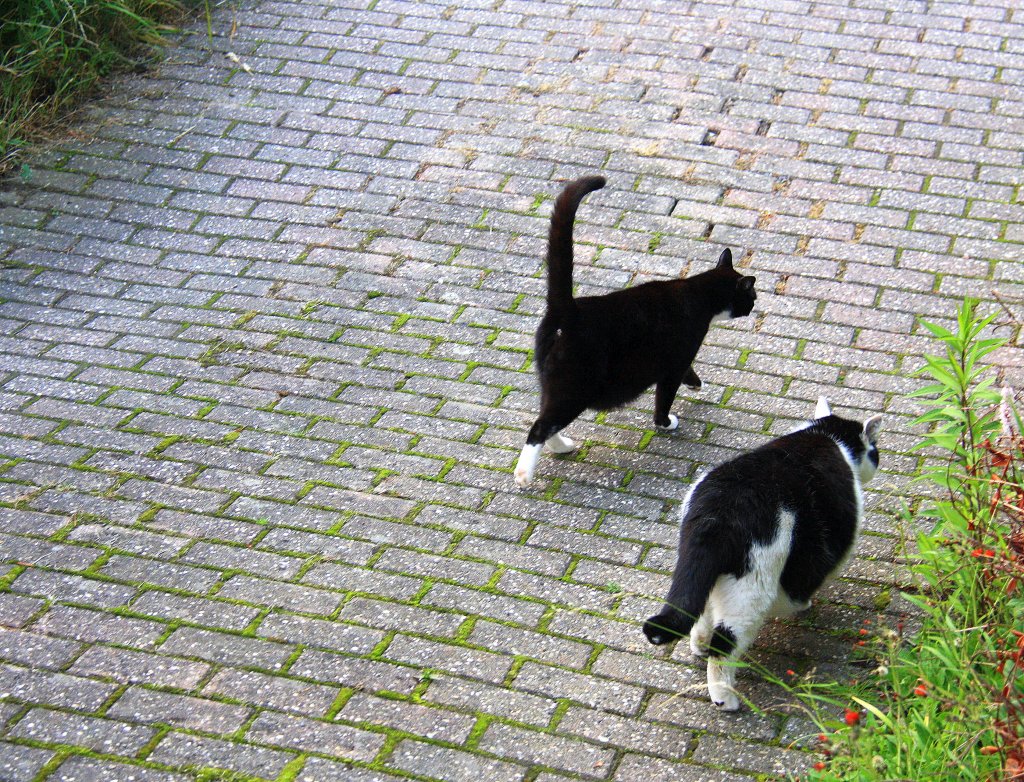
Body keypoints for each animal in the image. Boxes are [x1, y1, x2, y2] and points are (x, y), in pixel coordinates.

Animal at [516, 176, 757, 489]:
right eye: (751, 296)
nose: (754, 305)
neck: (698, 292)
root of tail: (569, 308)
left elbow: (689, 373)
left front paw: (697, 385)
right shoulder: (678, 358)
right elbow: (665, 396)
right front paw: (667, 422)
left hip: (553, 382)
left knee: (546, 419)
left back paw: (563, 447)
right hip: (574, 386)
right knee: (539, 426)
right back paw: (523, 475)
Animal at [647, 399, 880, 712]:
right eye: (875, 451)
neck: (826, 436)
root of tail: (715, 513)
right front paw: (805, 604)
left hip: (701, 573)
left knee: (698, 611)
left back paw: (699, 646)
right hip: (751, 591)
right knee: (725, 644)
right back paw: (725, 699)